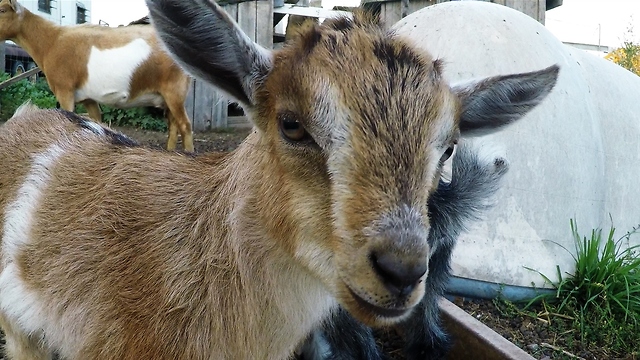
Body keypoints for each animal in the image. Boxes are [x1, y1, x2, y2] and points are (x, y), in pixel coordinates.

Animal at [0, 0, 192, 151]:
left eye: (2, 10)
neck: (52, 41)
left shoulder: (65, 91)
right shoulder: (88, 98)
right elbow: (96, 120)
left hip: (174, 91)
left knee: (185, 126)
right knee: (173, 125)